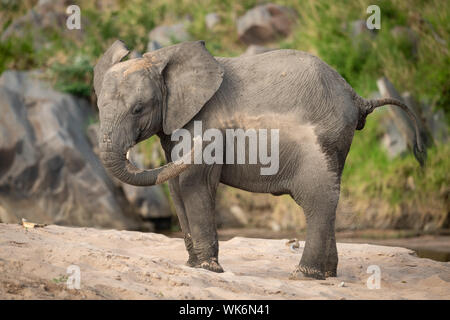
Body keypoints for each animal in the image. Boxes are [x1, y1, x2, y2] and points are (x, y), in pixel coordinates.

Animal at [95, 40, 426, 280]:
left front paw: (208, 269)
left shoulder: (200, 121)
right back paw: (328, 274)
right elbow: (176, 185)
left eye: (138, 109)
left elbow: (194, 181)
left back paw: (304, 275)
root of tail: (357, 97)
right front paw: (193, 266)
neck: (160, 57)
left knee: (318, 197)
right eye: (98, 107)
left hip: (325, 138)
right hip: (338, 142)